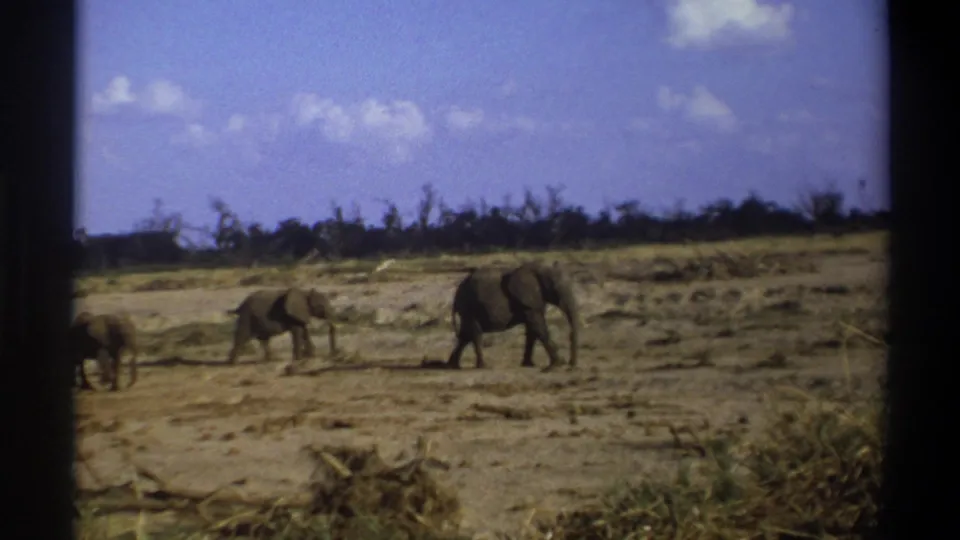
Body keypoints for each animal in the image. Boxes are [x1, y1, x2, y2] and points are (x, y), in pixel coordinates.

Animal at [446, 261, 580, 372]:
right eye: (556, 289)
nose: (571, 365)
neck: (540, 269)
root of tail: (456, 296)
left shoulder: (535, 301)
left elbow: (532, 330)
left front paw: (529, 364)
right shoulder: (527, 300)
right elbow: (538, 327)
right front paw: (557, 364)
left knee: (465, 335)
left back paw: (453, 366)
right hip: (470, 307)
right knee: (475, 333)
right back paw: (483, 367)